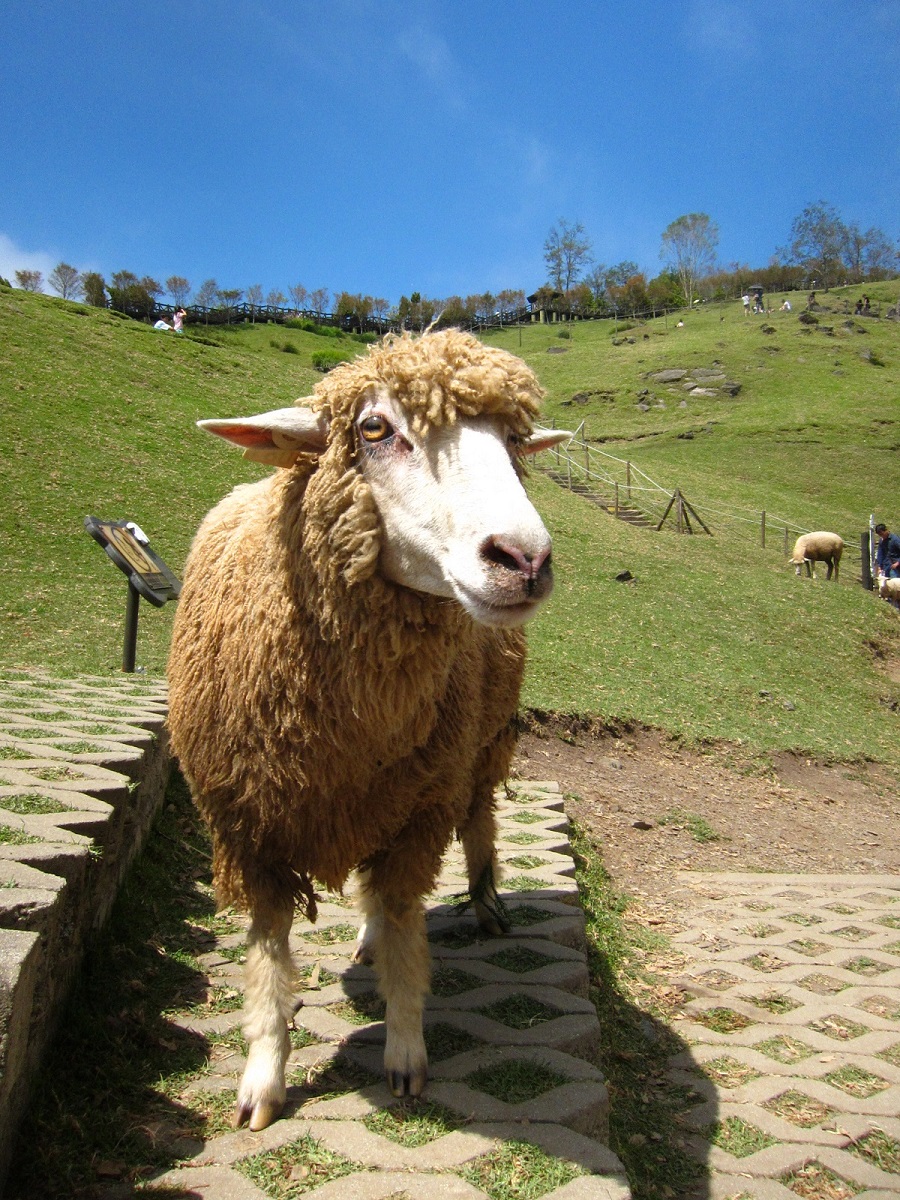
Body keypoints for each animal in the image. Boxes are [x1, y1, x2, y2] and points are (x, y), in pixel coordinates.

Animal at [169, 331, 571, 1132]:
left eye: (515, 442)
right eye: (375, 428)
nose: (524, 560)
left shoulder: (421, 812)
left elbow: (410, 937)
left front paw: (406, 1054)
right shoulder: (248, 829)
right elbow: (267, 963)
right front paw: (262, 1080)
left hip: (481, 746)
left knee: (476, 825)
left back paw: (486, 905)